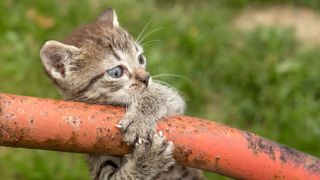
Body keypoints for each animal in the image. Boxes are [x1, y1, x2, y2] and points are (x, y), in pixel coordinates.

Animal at [40, 7, 204, 179]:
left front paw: (138, 121)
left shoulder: (171, 98)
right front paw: (148, 159)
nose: (147, 78)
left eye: (141, 58)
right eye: (116, 72)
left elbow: (161, 95)